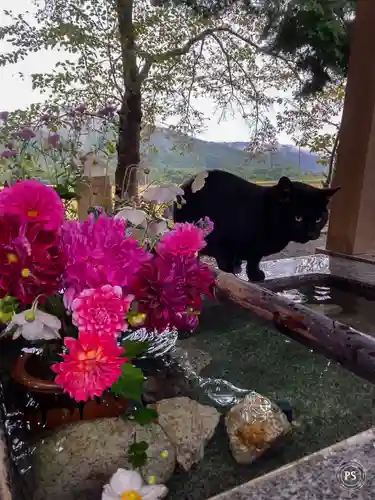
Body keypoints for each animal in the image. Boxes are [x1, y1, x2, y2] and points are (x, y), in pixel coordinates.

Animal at [173, 170, 340, 282]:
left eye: (319, 219)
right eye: (298, 218)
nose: (311, 233)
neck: (267, 213)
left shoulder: (256, 250)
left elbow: (254, 260)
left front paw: (254, 274)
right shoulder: (223, 242)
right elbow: (227, 262)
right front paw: (231, 276)